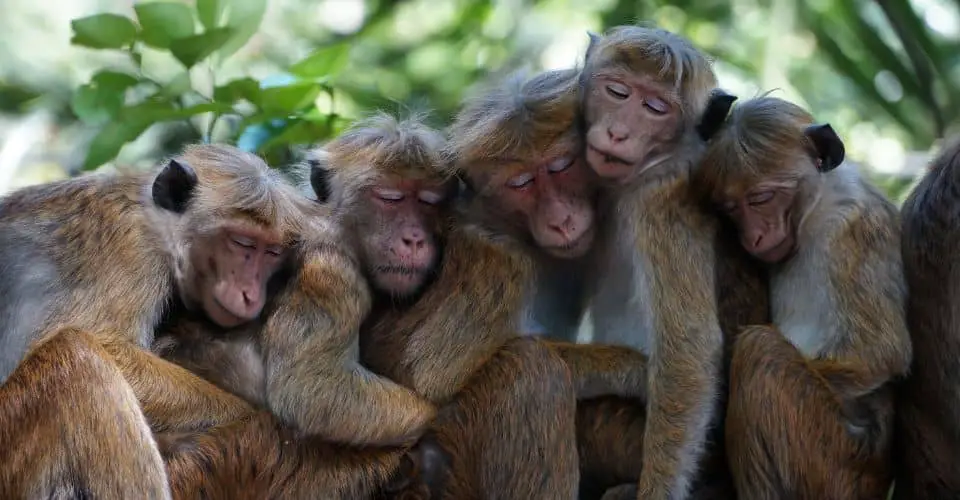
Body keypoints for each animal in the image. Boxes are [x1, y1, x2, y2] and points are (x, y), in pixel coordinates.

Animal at [690, 96, 911, 499]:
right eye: (731, 208)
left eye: (760, 199)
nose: (754, 237)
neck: (815, 210)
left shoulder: (852, 228)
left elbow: (880, 352)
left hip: (835, 465)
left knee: (759, 351)